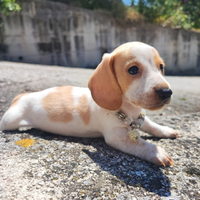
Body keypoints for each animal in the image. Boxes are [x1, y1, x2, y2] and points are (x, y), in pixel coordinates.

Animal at [0, 41, 178, 166]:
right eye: (133, 70)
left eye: (161, 67)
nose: (167, 92)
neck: (128, 111)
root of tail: (21, 96)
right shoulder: (117, 137)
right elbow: (140, 143)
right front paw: (156, 152)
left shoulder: (140, 118)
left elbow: (152, 125)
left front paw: (166, 130)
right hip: (11, 120)